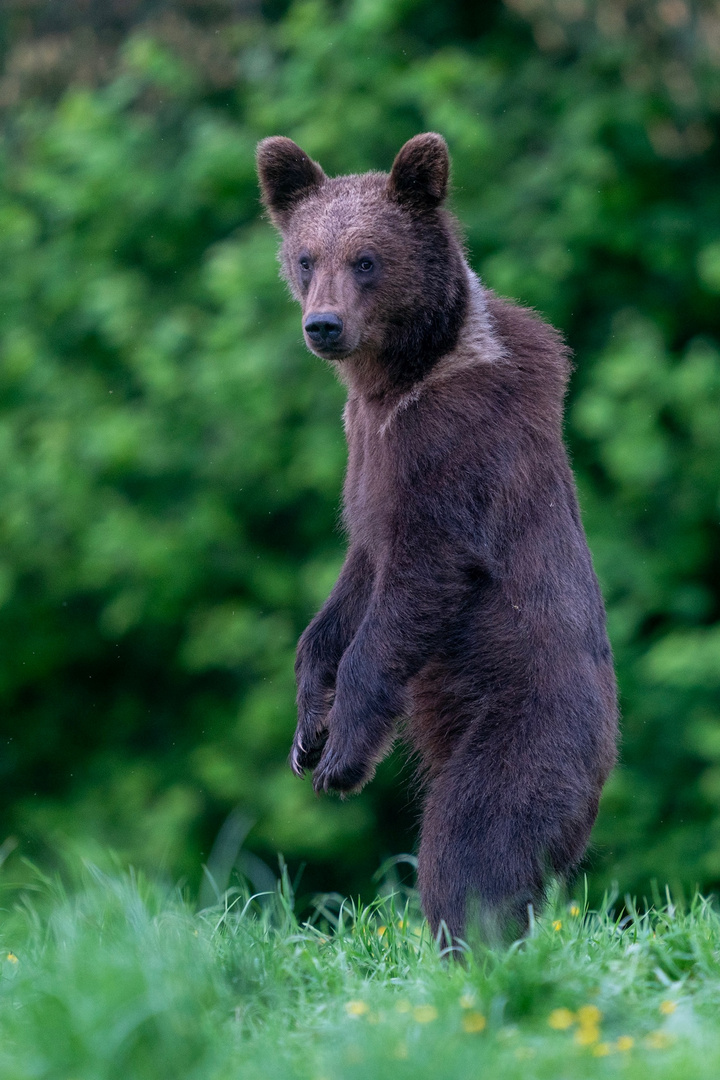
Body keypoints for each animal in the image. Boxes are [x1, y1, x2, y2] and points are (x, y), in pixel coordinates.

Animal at [254, 132, 621, 946]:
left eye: (367, 258)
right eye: (305, 256)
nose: (323, 326)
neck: (396, 381)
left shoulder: (451, 453)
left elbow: (418, 583)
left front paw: (341, 757)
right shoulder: (365, 462)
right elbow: (352, 584)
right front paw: (306, 730)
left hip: (524, 722)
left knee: (475, 841)